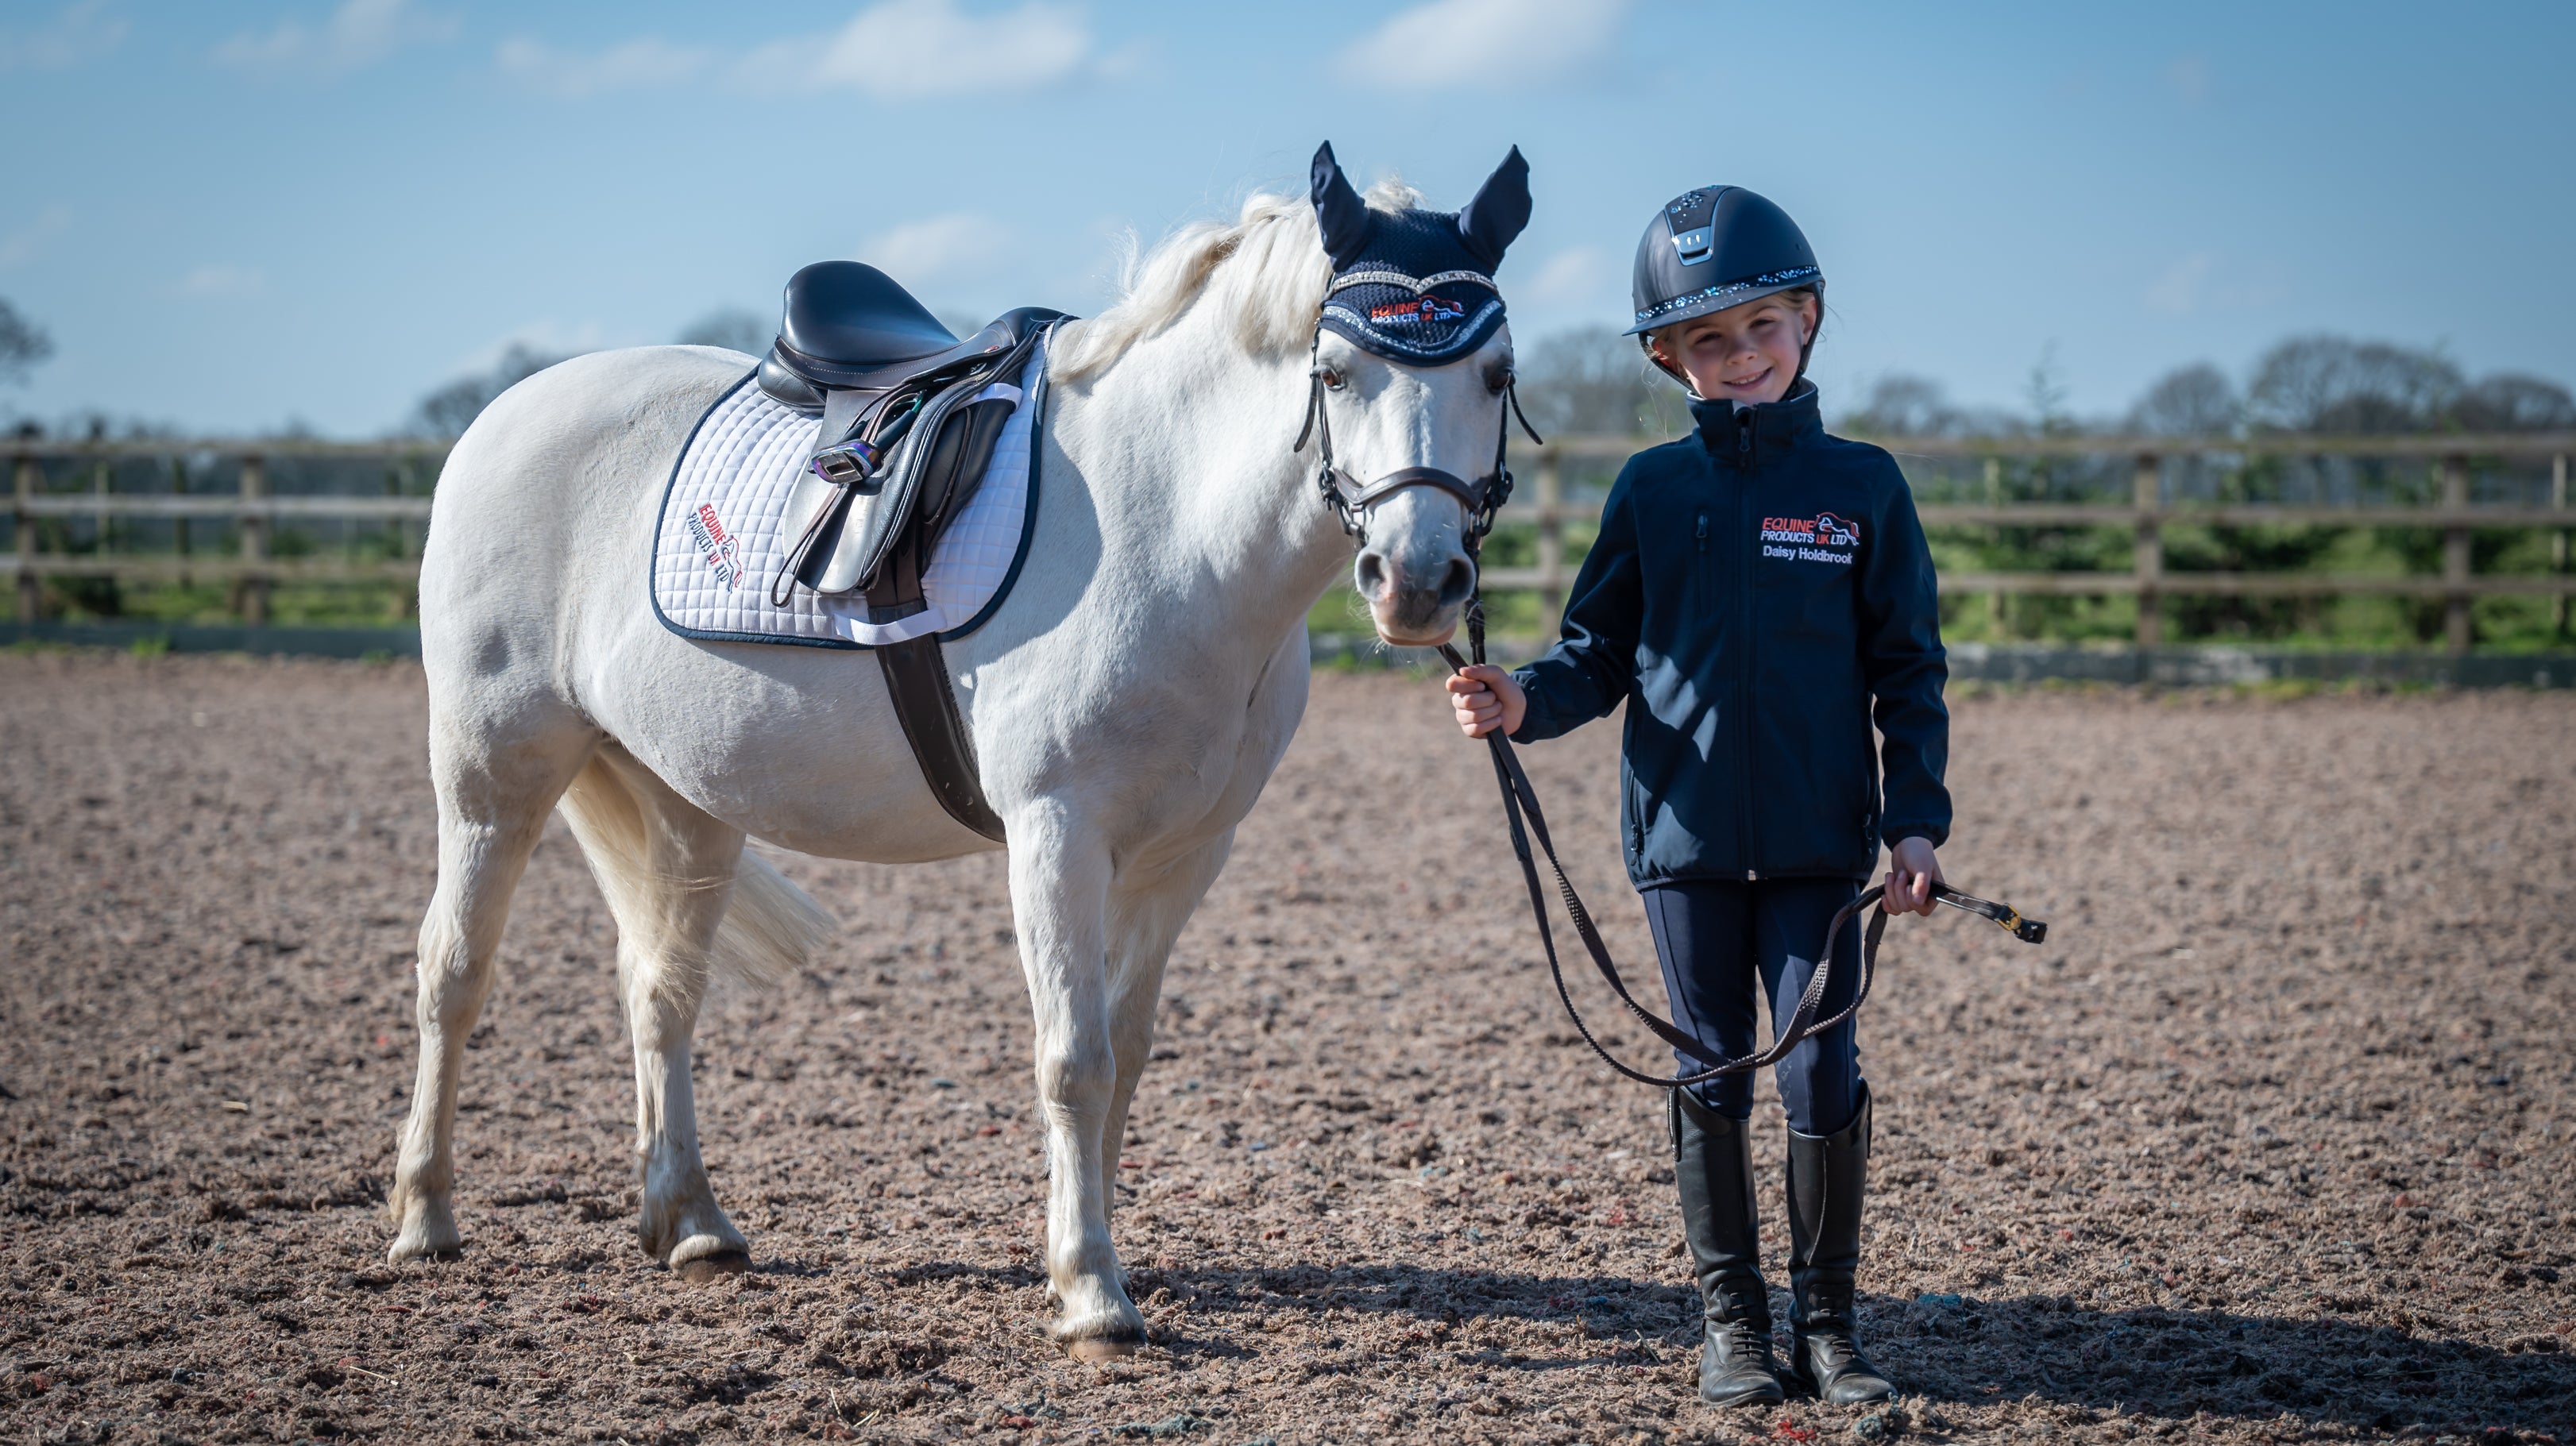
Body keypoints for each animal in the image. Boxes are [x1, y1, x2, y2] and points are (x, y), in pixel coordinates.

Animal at [387, 152, 1529, 1357]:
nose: (1419, 583)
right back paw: (425, 1217)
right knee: (452, 973)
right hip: (493, 775)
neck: (1166, 527)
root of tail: (505, 413)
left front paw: (1086, 1255)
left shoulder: (1183, 859)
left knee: (662, 990)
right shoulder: (1055, 834)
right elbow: (1073, 1060)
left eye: (1496, 372)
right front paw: (1089, 1291)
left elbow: (1125, 1053)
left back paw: (689, 1220)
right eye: (1337, 371)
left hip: (690, 802)